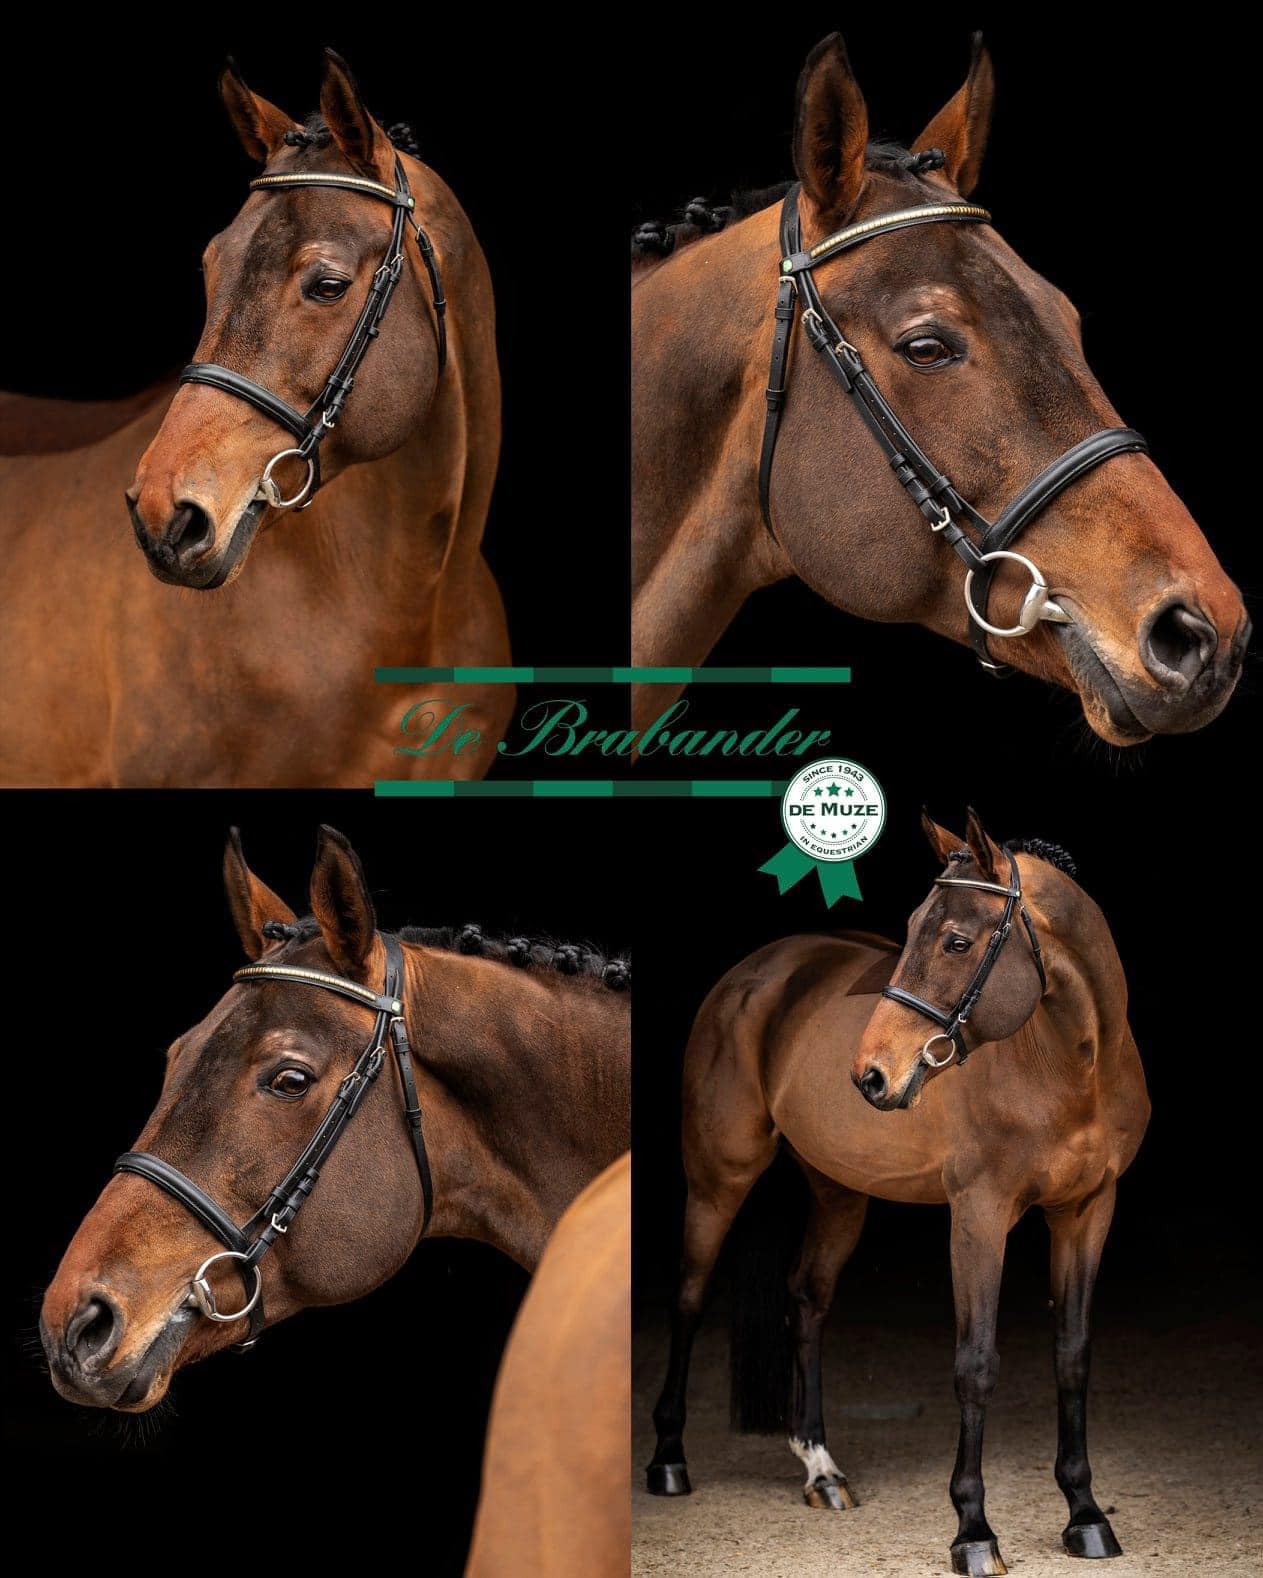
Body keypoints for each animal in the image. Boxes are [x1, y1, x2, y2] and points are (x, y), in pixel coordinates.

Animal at [646, 810, 1149, 1576]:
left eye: (955, 940)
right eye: (912, 927)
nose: (872, 1075)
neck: (1069, 1069)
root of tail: (756, 972)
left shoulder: (1087, 1213)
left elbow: (1072, 1355)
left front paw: (1085, 1515)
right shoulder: (979, 1216)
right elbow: (975, 1364)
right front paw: (973, 1531)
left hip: (838, 1194)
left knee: (807, 1300)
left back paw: (821, 1470)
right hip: (716, 1178)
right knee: (690, 1298)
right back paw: (669, 1461)